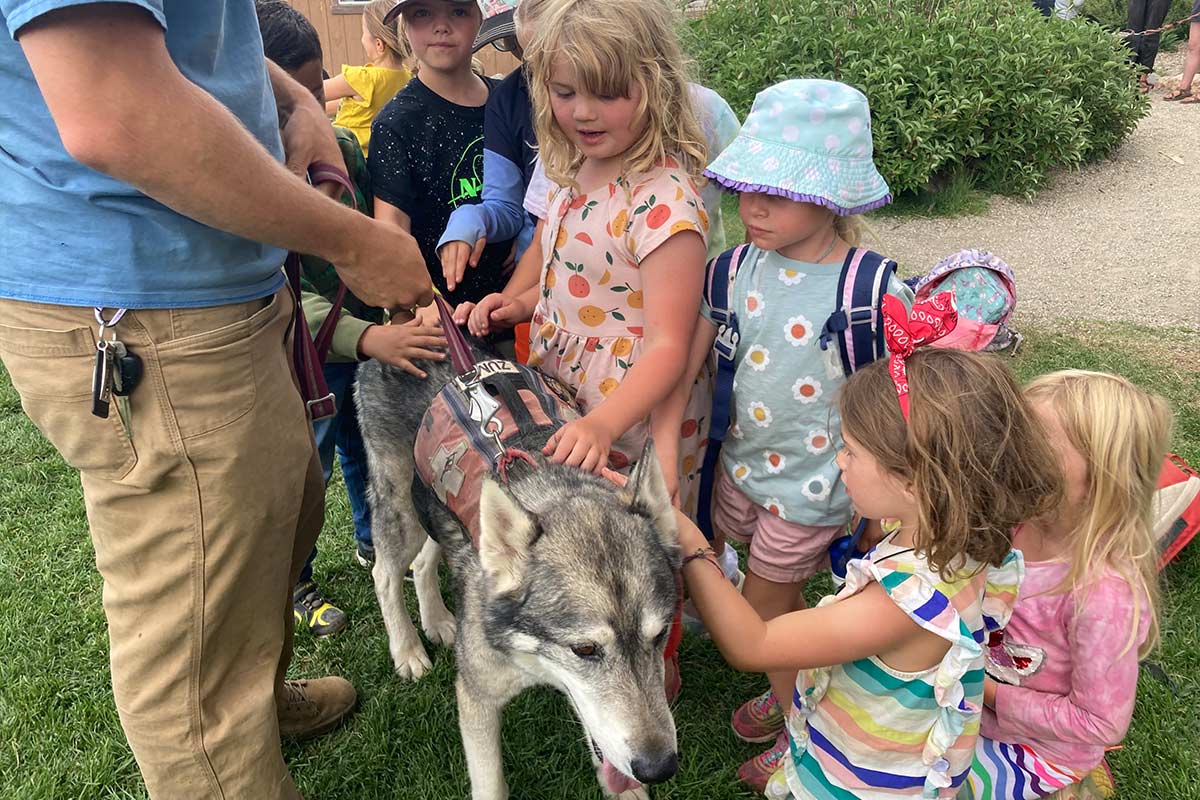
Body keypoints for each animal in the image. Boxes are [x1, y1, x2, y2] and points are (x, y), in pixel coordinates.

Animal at [350, 345, 681, 800]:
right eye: (585, 650)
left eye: (660, 635)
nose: (659, 767)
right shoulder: (475, 696)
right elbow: (491, 783)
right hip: (401, 512)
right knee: (384, 573)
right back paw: (408, 651)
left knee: (422, 563)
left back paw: (438, 622)